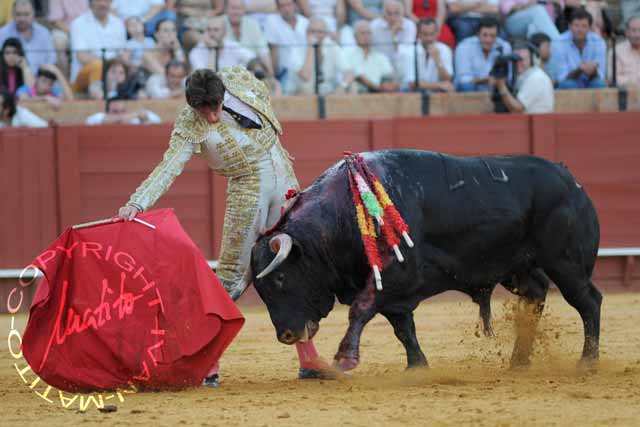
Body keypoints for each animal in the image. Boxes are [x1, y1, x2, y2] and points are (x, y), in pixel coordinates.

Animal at [249, 150, 600, 372]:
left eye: (280, 279)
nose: (286, 335)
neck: (343, 214)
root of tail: (570, 180)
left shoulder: (396, 274)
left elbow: (361, 309)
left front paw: (345, 358)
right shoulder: (391, 290)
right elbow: (402, 328)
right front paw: (417, 365)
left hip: (565, 263)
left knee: (589, 301)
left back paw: (587, 361)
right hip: (519, 267)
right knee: (536, 295)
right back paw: (519, 361)